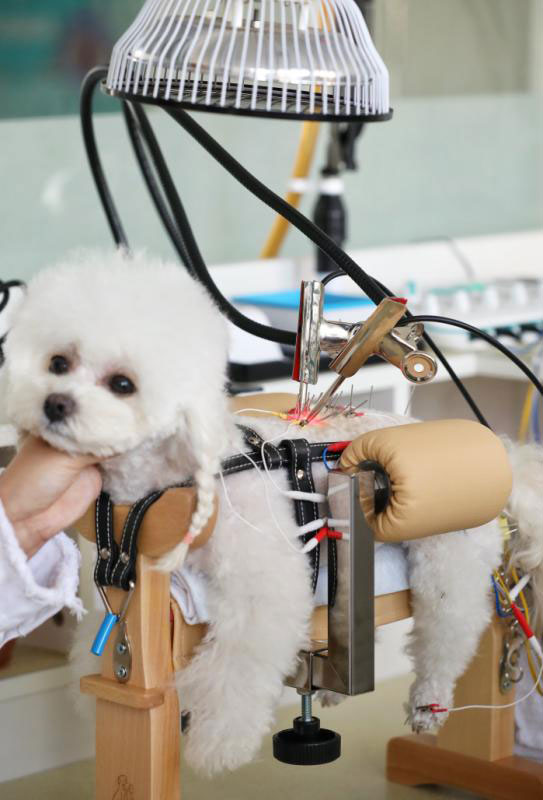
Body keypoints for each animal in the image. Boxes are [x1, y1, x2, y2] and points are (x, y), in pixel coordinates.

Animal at [1, 252, 510, 776]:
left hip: (448, 560)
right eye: (58, 363)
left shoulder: (262, 587)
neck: (167, 485)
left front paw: (218, 742)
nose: (54, 404)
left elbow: (237, 667)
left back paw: (429, 703)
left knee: (447, 636)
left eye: (123, 384)